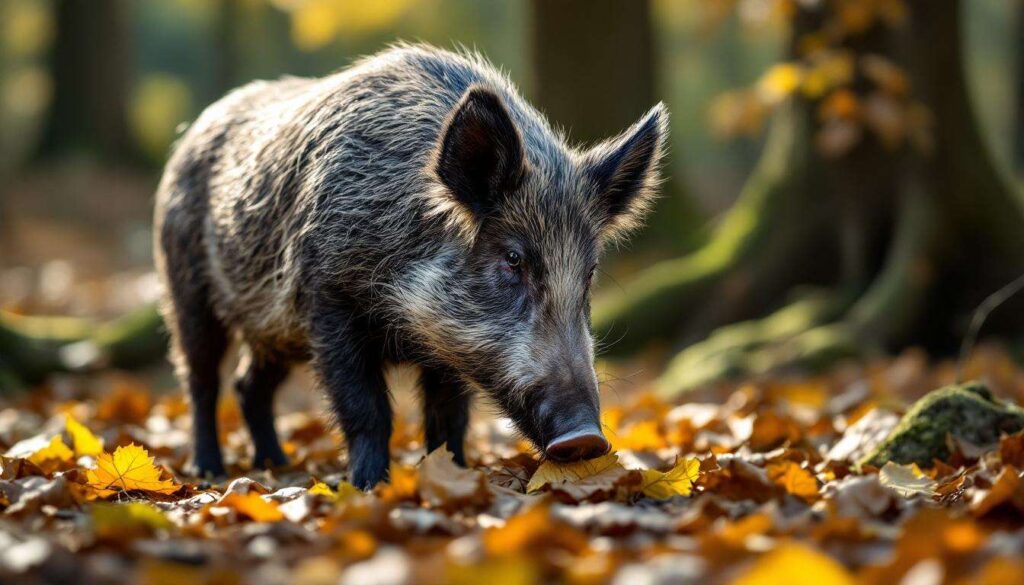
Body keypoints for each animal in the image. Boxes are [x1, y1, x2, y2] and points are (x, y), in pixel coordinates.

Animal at [154, 44, 667, 489]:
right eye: (513, 258)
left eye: (591, 271)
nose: (586, 437)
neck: (402, 318)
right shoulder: (327, 301)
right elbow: (368, 410)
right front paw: (368, 487)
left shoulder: (449, 348)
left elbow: (447, 419)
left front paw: (453, 475)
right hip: (185, 286)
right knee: (201, 378)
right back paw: (209, 470)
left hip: (274, 333)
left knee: (248, 384)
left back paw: (275, 464)